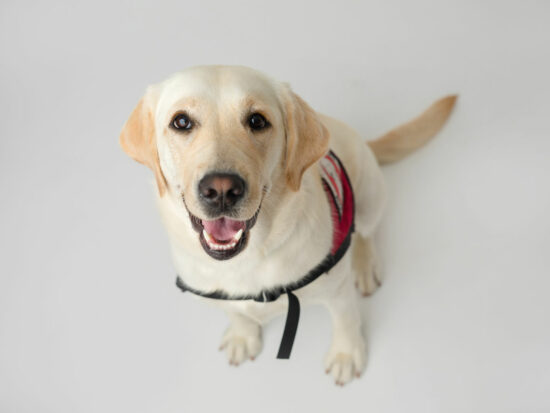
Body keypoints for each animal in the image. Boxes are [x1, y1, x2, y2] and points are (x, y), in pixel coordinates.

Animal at [121, 64, 458, 384]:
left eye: (257, 121)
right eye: (181, 122)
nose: (221, 190)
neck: (249, 260)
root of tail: (364, 141)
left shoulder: (337, 290)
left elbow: (346, 320)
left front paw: (346, 355)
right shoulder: (219, 292)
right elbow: (237, 312)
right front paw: (243, 336)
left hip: (371, 195)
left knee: (364, 232)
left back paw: (365, 266)